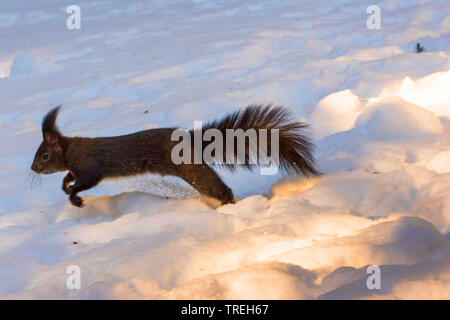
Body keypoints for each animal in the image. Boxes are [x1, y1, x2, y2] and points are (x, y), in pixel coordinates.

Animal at [30, 105, 320, 208]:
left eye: (44, 155)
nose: (33, 169)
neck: (70, 150)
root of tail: (189, 139)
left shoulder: (91, 167)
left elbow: (86, 181)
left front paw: (75, 197)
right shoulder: (77, 168)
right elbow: (70, 177)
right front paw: (65, 185)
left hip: (190, 169)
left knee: (219, 188)